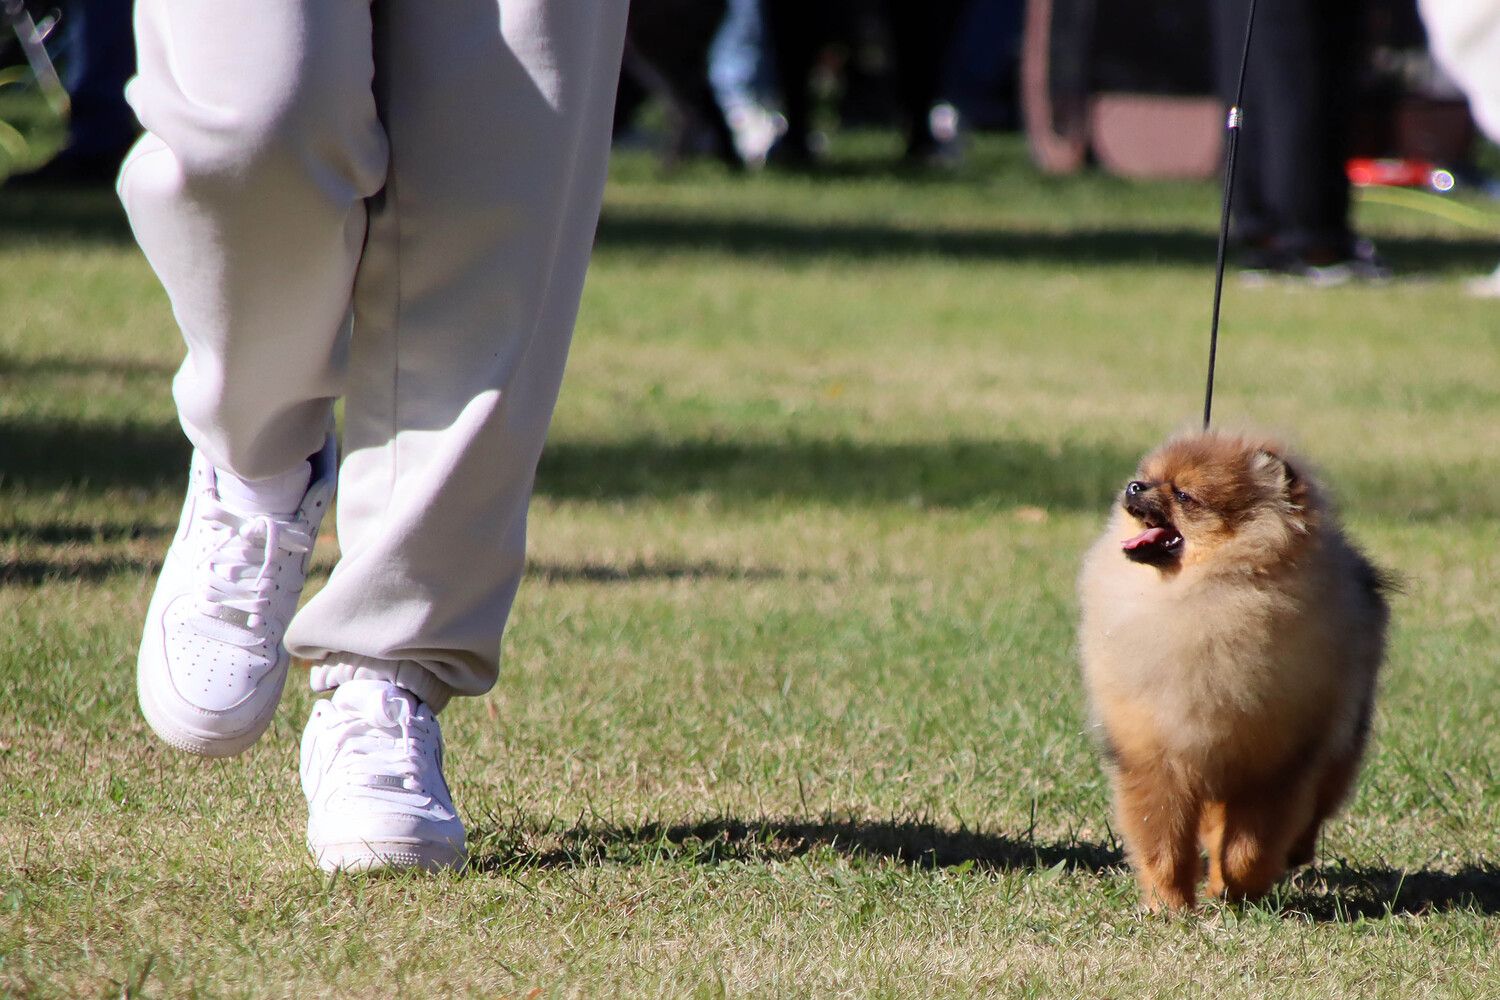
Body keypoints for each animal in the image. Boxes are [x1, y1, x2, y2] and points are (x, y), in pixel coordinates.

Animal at [1080, 434, 1392, 911]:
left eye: (1184, 494)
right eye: (1147, 477)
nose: (1134, 486)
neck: (1197, 600)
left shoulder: (1272, 763)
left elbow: (1249, 845)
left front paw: (1234, 891)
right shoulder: (1155, 755)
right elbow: (1162, 842)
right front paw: (1169, 905)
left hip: (1340, 739)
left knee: (1315, 807)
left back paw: (1292, 854)